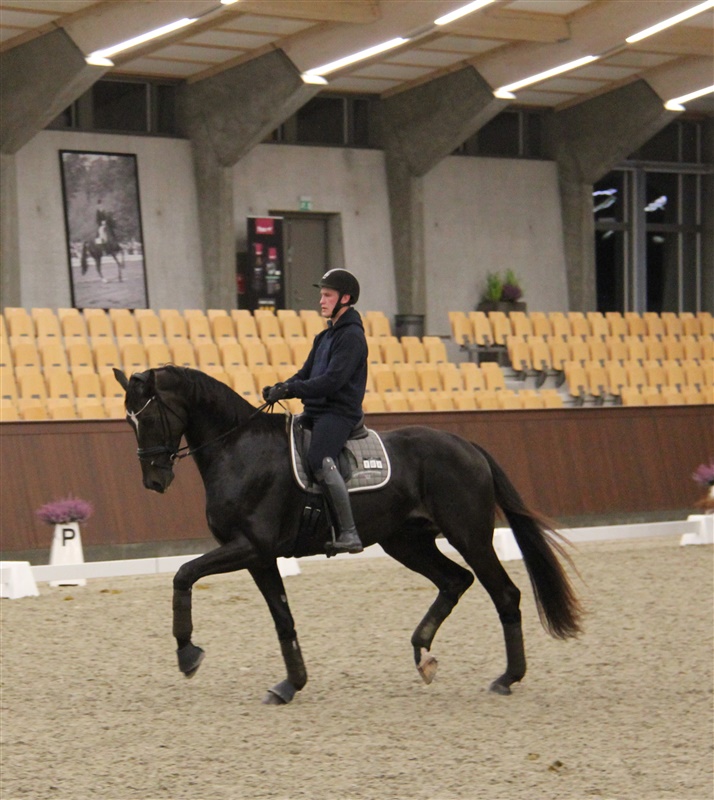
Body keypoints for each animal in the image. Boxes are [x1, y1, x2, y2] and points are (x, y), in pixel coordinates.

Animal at [113, 365, 582, 705]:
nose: (154, 481)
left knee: (504, 593)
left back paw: (507, 678)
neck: (239, 450)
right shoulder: (259, 557)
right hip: (406, 542)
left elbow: (183, 574)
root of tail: (467, 445)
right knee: (455, 581)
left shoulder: (249, 547)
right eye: (127, 420)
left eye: (149, 416)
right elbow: (282, 618)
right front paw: (291, 685)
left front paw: (187, 654)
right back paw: (423, 654)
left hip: (470, 536)